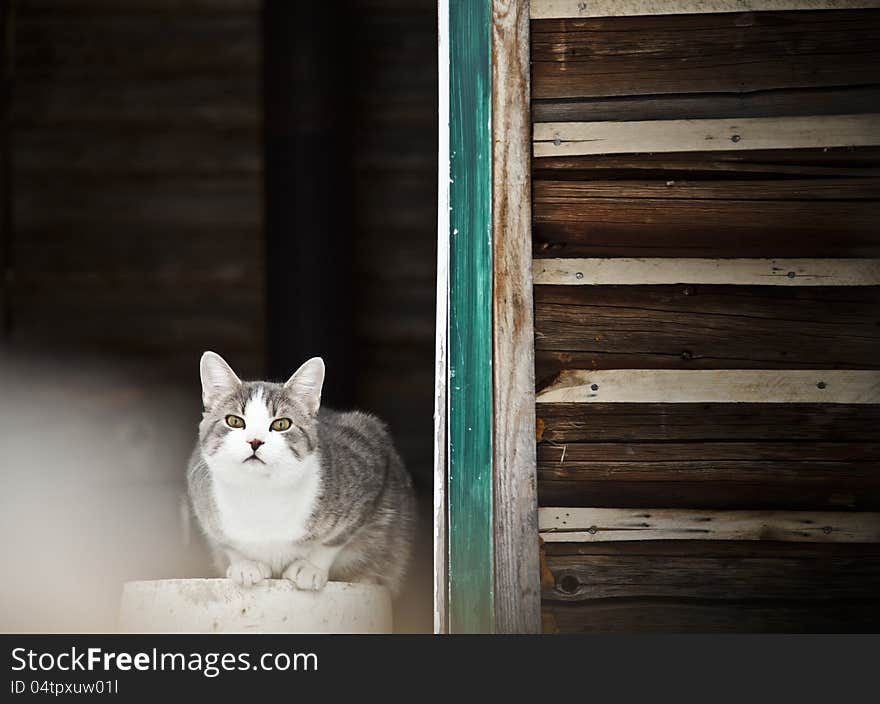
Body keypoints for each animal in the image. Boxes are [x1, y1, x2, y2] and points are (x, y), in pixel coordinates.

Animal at [185, 350, 416, 596]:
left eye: (281, 424)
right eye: (235, 421)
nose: (255, 441)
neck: (261, 493)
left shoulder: (369, 464)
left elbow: (334, 540)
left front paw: (310, 567)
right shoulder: (202, 499)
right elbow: (226, 543)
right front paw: (245, 563)